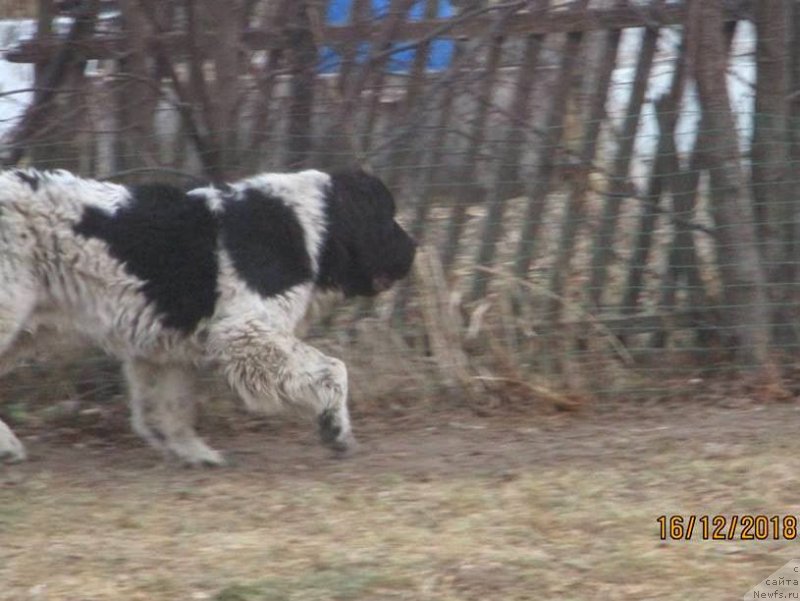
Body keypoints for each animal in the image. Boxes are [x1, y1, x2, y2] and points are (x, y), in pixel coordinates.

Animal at [1, 166, 418, 466]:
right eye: (386, 218)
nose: (414, 249)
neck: (312, 228)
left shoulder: (164, 346)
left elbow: (169, 407)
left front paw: (191, 452)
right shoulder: (246, 331)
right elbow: (334, 368)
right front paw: (336, 430)